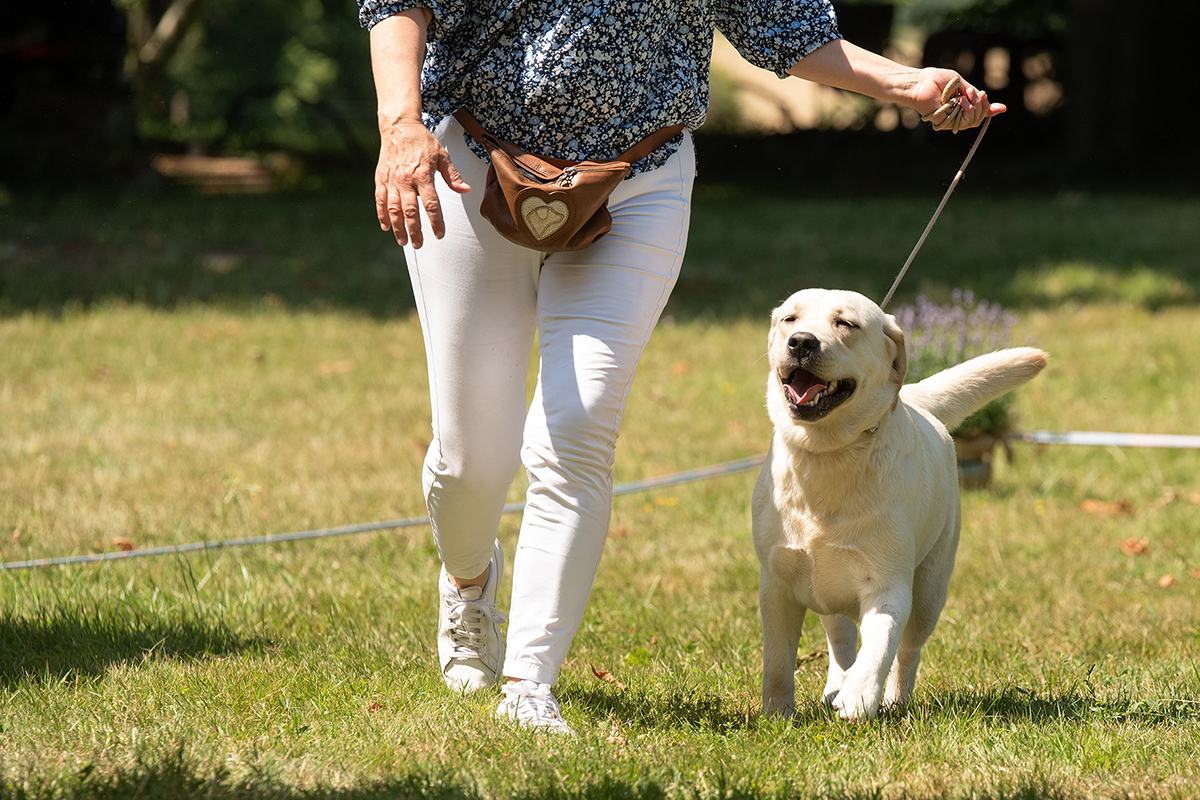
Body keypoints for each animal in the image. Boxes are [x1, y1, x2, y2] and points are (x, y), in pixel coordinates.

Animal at [753, 287, 1046, 719]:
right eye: (790, 319)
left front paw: (859, 699)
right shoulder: (776, 584)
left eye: (846, 323)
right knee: (839, 638)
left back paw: (893, 699)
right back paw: (836, 684)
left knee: (908, 652)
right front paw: (777, 714)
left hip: (929, 590)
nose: (802, 342)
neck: (828, 456)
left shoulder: (888, 584)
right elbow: (776, 661)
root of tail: (912, 396)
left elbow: (879, 647)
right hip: (822, 586)